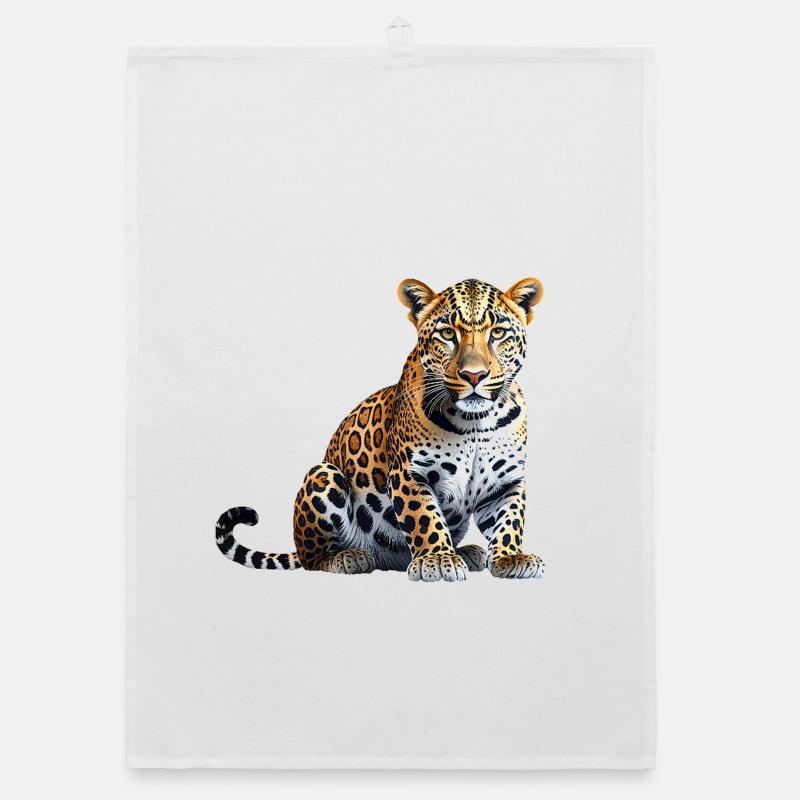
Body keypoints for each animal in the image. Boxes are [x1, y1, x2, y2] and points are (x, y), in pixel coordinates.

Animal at [215, 277, 546, 582]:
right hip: (324, 475)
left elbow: (510, 519)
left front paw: (511, 558)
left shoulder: (507, 481)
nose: (474, 375)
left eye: (498, 333)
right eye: (447, 334)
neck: (475, 422)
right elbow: (425, 517)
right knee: (312, 559)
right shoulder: (409, 474)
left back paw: (467, 552)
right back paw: (348, 557)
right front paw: (438, 559)